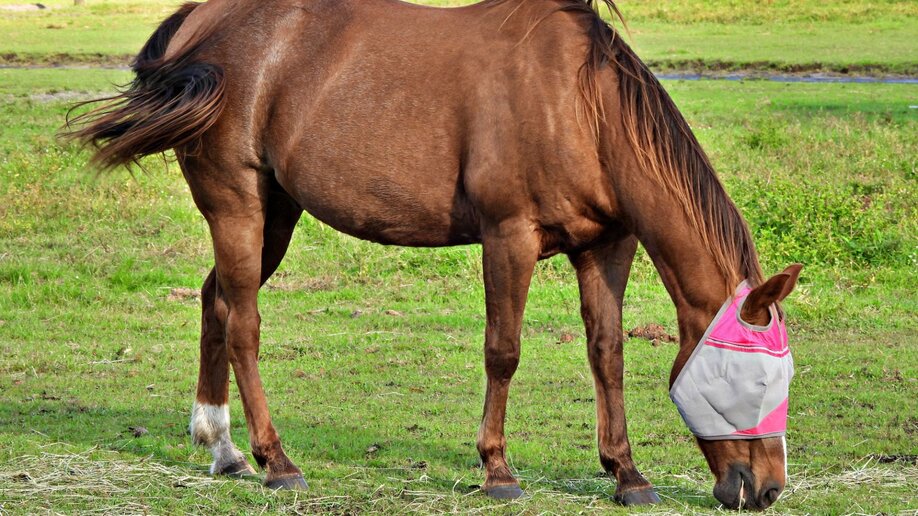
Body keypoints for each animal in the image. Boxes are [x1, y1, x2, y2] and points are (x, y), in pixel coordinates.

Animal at [65, 0, 802, 510]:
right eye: (755, 382)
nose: (766, 489)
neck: (578, 103)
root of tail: (201, 22)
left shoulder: (606, 246)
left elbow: (607, 355)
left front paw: (626, 473)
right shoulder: (509, 237)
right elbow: (503, 351)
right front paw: (497, 469)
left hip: (274, 214)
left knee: (214, 301)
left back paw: (222, 447)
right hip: (238, 207)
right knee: (242, 321)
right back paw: (275, 460)